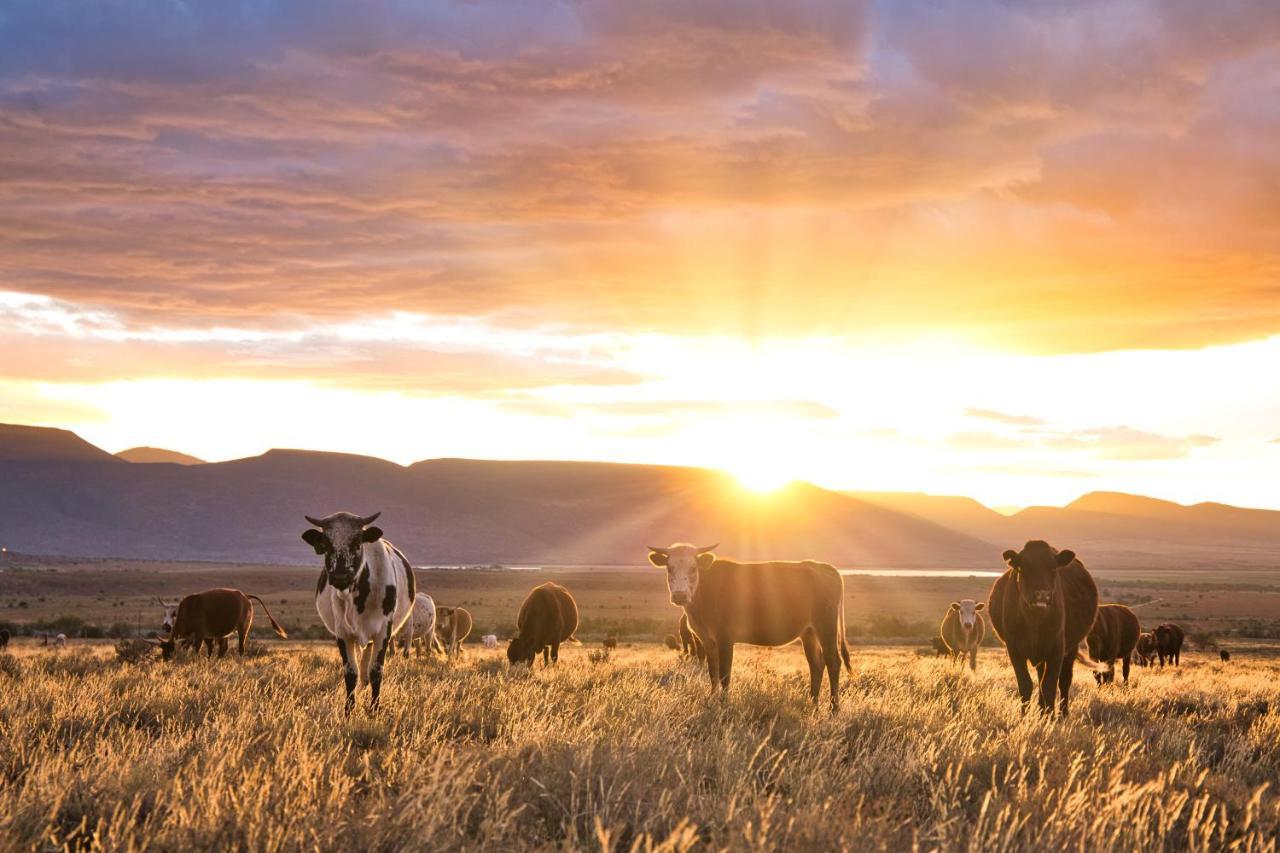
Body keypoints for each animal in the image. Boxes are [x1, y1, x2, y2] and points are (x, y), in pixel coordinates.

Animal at [149, 589, 288, 660]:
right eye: (163, 653)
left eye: (170, 652)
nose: (166, 661)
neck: (189, 609)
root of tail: (245, 596)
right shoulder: (202, 637)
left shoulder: (200, 635)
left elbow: (197, 650)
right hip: (224, 633)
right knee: (223, 649)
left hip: (243, 629)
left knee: (241, 648)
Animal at [303, 504, 414, 712]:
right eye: (327, 544)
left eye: (357, 542)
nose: (340, 576)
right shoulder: (343, 633)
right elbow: (350, 673)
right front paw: (349, 710)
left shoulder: (383, 631)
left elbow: (376, 671)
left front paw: (375, 709)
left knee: (367, 667)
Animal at [650, 540, 849, 706]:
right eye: (669, 567)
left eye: (693, 568)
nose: (680, 595)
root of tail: (825, 568)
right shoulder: (707, 640)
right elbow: (713, 672)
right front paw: (712, 699)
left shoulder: (725, 638)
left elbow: (725, 674)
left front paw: (723, 703)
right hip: (808, 632)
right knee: (816, 665)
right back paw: (813, 705)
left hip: (826, 626)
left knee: (833, 662)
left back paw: (833, 709)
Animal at [988, 540, 1100, 712]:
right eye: (1023, 568)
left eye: (1053, 568)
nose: (1042, 595)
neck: (1035, 621)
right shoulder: (1014, 650)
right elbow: (1025, 685)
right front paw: (1024, 715)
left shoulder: (1057, 649)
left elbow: (1049, 686)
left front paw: (1049, 716)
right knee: (1041, 676)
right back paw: (1042, 710)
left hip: (1071, 648)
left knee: (1064, 681)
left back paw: (1061, 713)